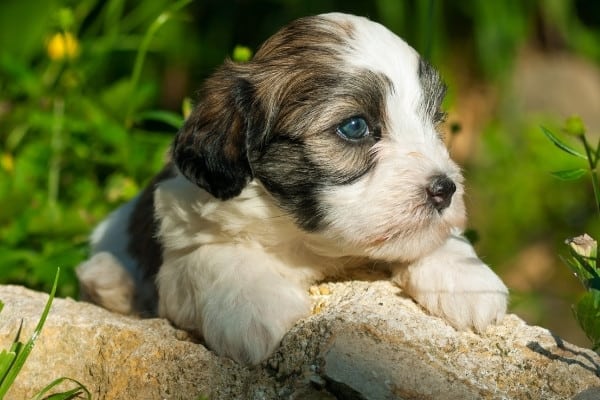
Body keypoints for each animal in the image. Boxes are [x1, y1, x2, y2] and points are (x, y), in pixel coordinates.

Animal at [75, 12, 506, 364]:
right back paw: (110, 281)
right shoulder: (184, 231)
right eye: (355, 127)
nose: (444, 189)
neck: (310, 243)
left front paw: (467, 278)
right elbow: (214, 254)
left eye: (435, 120)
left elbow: (430, 238)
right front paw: (253, 309)